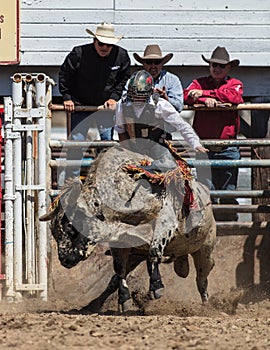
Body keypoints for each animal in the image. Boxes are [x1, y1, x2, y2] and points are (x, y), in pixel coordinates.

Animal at [40, 145, 217, 312]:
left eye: (71, 226)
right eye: (54, 232)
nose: (64, 260)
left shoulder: (166, 222)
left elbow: (154, 252)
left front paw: (156, 287)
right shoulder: (120, 241)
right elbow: (119, 269)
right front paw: (124, 299)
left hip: (205, 250)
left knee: (202, 279)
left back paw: (207, 305)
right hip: (136, 255)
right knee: (113, 280)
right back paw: (92, 305)